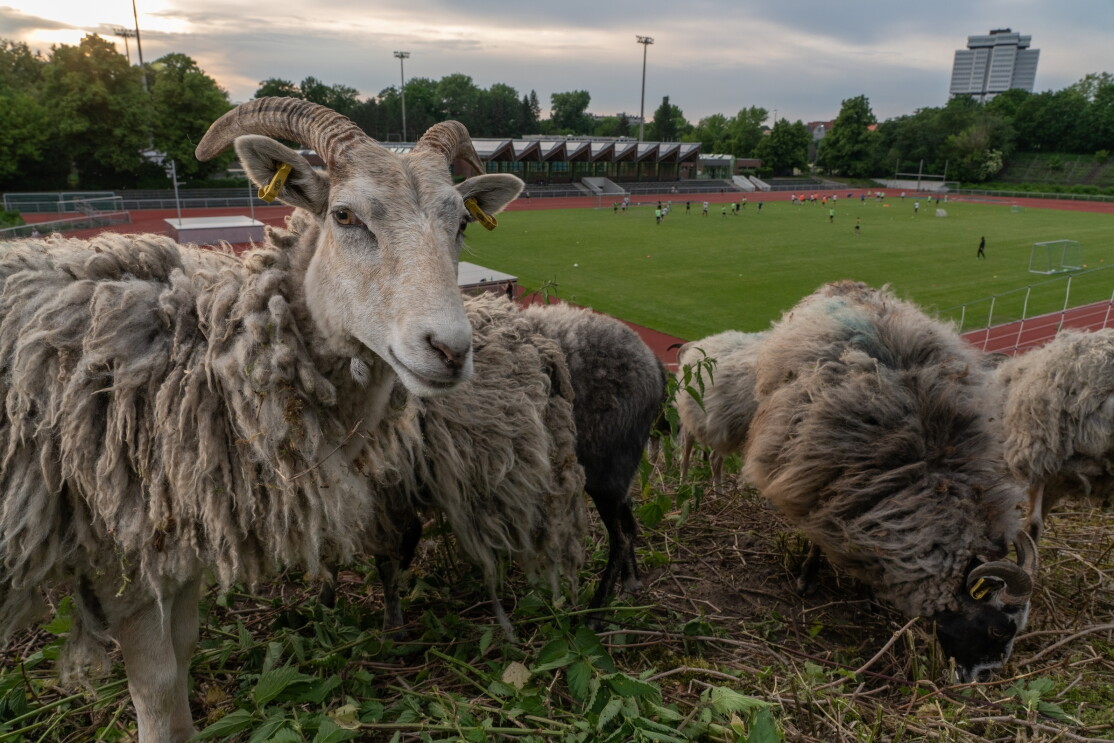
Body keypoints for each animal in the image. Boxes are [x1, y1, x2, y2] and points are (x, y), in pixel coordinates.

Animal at [0, 97, 524, 743]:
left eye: (462, 225)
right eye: (344, 215)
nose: (450, 350)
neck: (201, 348)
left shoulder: (181, 550)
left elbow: (185, 653)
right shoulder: (121, 556)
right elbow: (158, 686)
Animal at [743, 280, 1037, 683]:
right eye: (998, 628)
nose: (980, 678)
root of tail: (846, 284)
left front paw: (869, 595)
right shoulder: (819, 485)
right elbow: (817, 537)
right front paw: (807, 578)